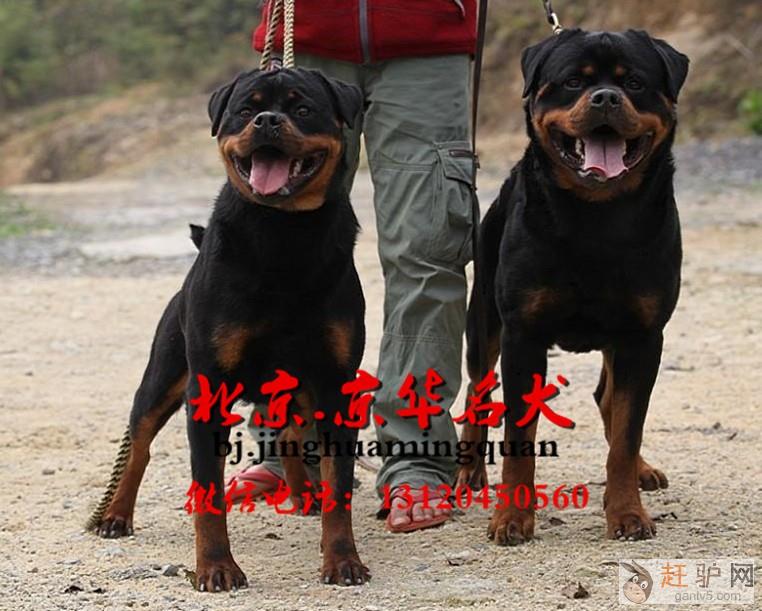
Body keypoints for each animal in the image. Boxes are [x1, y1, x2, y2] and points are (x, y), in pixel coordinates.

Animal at [88, 67, 369, 590]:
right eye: (245, 109)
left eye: (303, 109)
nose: (267, 120)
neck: (283, 234)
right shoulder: (207, 388)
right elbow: (207, 493)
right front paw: (216, 568)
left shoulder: (334, 386)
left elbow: (338, 483)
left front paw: (342, 559)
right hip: (162, 377)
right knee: (139, 444)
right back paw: (115, 514)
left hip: (296, 391)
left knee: (289, 435)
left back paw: (305, 496)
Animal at [456, 29, 689, 545]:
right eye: (572, 83)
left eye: (635, 82)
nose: (605, 97)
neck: (597, 215)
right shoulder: (522, 334)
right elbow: (519, 438)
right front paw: (511, 517)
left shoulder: (643, 336)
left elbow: (627, 432)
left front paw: (626, 511)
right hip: (483, 321)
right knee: (478, 390)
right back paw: (468, 472)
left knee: (611, 400)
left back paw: (643, 469)